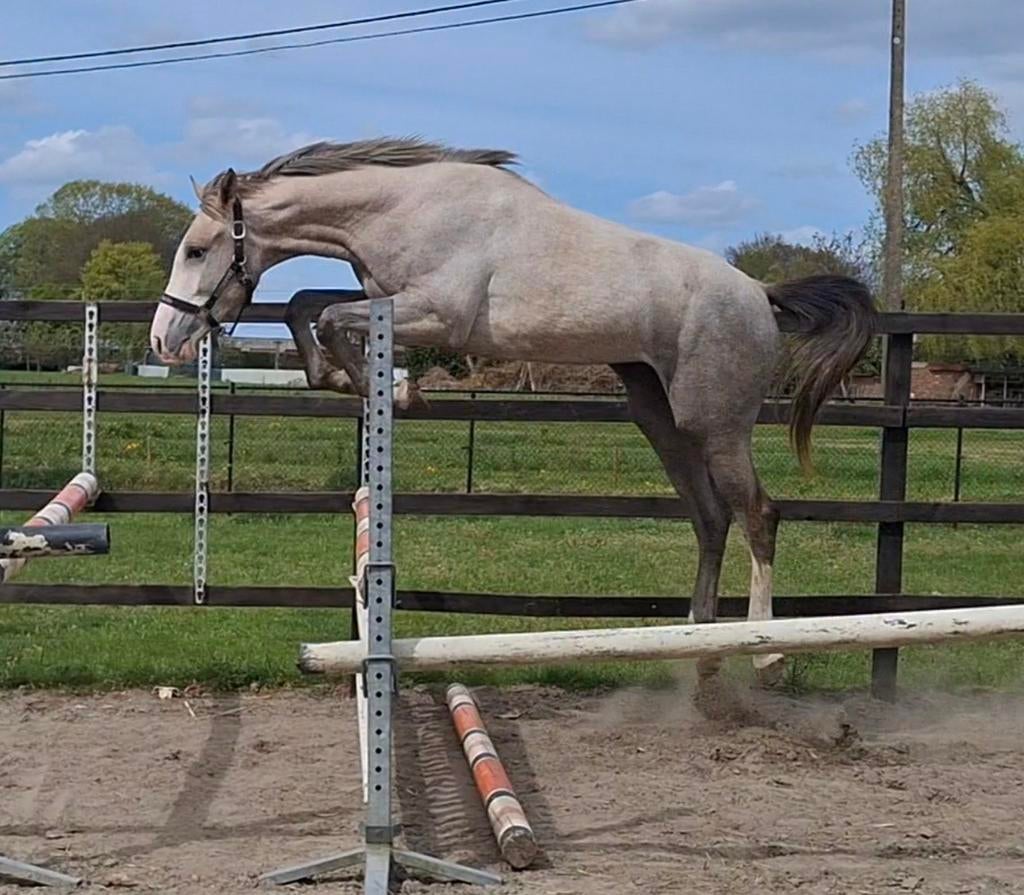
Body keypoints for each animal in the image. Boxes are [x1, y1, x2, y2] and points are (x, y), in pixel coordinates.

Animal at [150, 137, 877, 687]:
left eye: (195, 250)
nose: (164, 339)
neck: (403, 208)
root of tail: (760, 293)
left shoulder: (434, 313)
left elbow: (325, 316)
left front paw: (397, 391)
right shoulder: (386, 299)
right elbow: (307, 304)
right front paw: (366, 383)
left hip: (717, 425)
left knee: (758, 514)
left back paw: (766, 651)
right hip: (662, 421)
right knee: (710, 517)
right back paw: (697, 639)